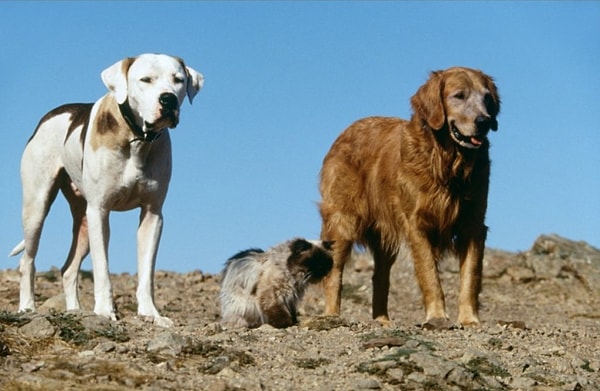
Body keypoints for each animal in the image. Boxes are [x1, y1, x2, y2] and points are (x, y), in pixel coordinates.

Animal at [9, 52, 204, 328]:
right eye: (146, 80)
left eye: (179, 80)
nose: (168, 99)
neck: (137, 139)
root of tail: (50, 116)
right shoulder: (100, 211)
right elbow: (102, 269)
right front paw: (104, 311)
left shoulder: (152, 215)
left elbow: (147, 272)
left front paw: (151, 313)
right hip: (37, 207)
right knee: (27, 261)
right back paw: (27, 307)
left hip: (83, 222)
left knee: (69, 269)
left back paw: (74, 311)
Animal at [322, 67, 500, 328]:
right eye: (459, 95)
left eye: (487, 98)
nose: (484, 121)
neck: (447, 163)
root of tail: (345, 131)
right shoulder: (417, 224)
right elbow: (430, 275)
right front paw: (437, 316)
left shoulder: (473, 225)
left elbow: (471, 275)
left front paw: (470, 319)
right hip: (343, 221)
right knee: (335, 272)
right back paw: (332, 315)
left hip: (384, 237)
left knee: (380, 277)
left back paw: (382, 320)